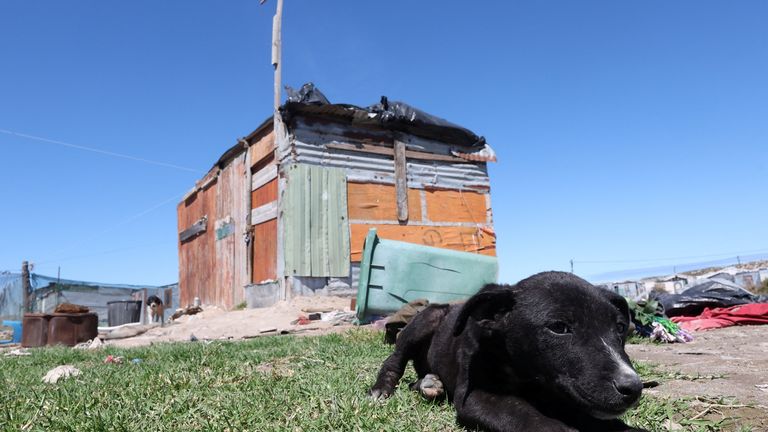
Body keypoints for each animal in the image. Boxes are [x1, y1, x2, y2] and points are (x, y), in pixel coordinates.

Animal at [368, 272, 644, 430]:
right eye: (559, 328)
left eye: (620, 327)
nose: (633, 388)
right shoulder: (477, 395)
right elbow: (532, 419)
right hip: (427, 318)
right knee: (394, 361)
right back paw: (382, 389)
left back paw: (431, 383)